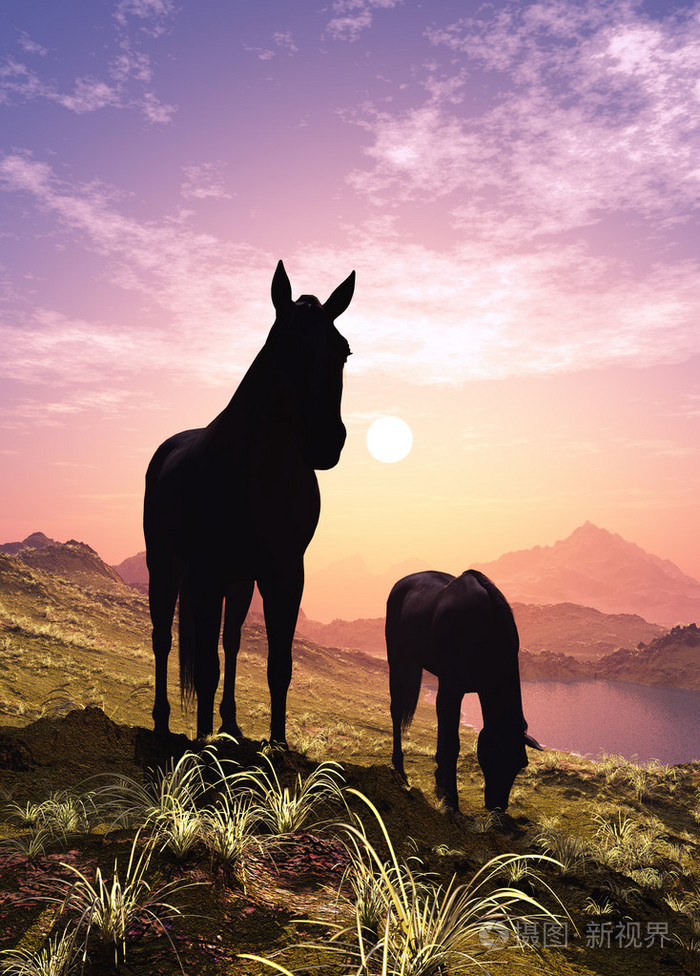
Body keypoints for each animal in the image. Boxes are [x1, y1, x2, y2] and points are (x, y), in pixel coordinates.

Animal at [144, 260, 355, 742]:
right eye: (284, 345)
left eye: (343, 351)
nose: (326, 441)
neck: (259, 477)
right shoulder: (206, 573)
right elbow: (205, 667)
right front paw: (202, 746)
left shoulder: (286, 573)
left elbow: (279, 665)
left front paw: (276, 743)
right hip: (166, 563)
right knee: (163, 636)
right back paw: (165, 722)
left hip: (240, 579)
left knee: (232, 641)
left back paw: (231, 724)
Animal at [386, 569, 542, 811]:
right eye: (496, 756)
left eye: (521, 763)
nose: (498, 807)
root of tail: (402, 582)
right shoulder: (451, 688)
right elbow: (451, 743)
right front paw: (450, 799)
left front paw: (440, 784)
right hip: (397, 660)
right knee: (396, 710)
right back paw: (399, 768)